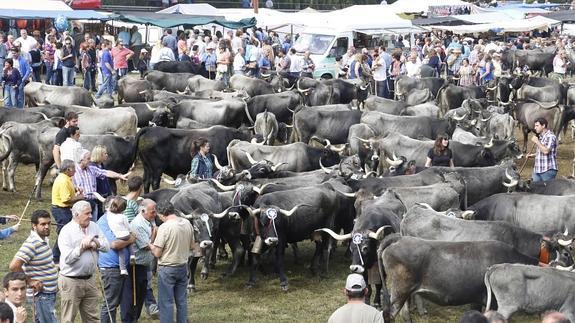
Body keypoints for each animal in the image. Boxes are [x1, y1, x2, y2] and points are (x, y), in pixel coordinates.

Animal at [382, 238, 540, 323]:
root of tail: (399, 239)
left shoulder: (477, 299)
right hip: (399, 291)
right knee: (389, 314)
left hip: (405, 293)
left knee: (404, 313)